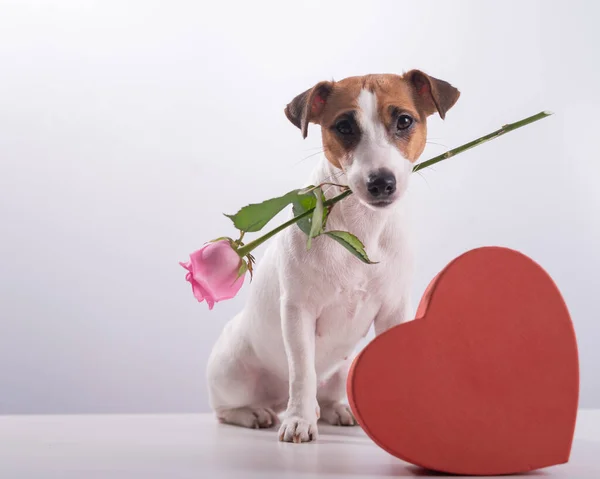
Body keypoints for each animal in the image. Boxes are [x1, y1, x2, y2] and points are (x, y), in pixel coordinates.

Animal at [206, 70, 460, 442]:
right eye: (344, 126)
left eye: (404, 120)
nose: (381, 182)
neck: (361, 227)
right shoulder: (298, 313)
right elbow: (302, 372)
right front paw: (299, 420)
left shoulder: (393, 311)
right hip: (232, 371)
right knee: (227, 409)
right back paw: (256, 413)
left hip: (342, 369)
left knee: (326, 395)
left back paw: (336, 408)